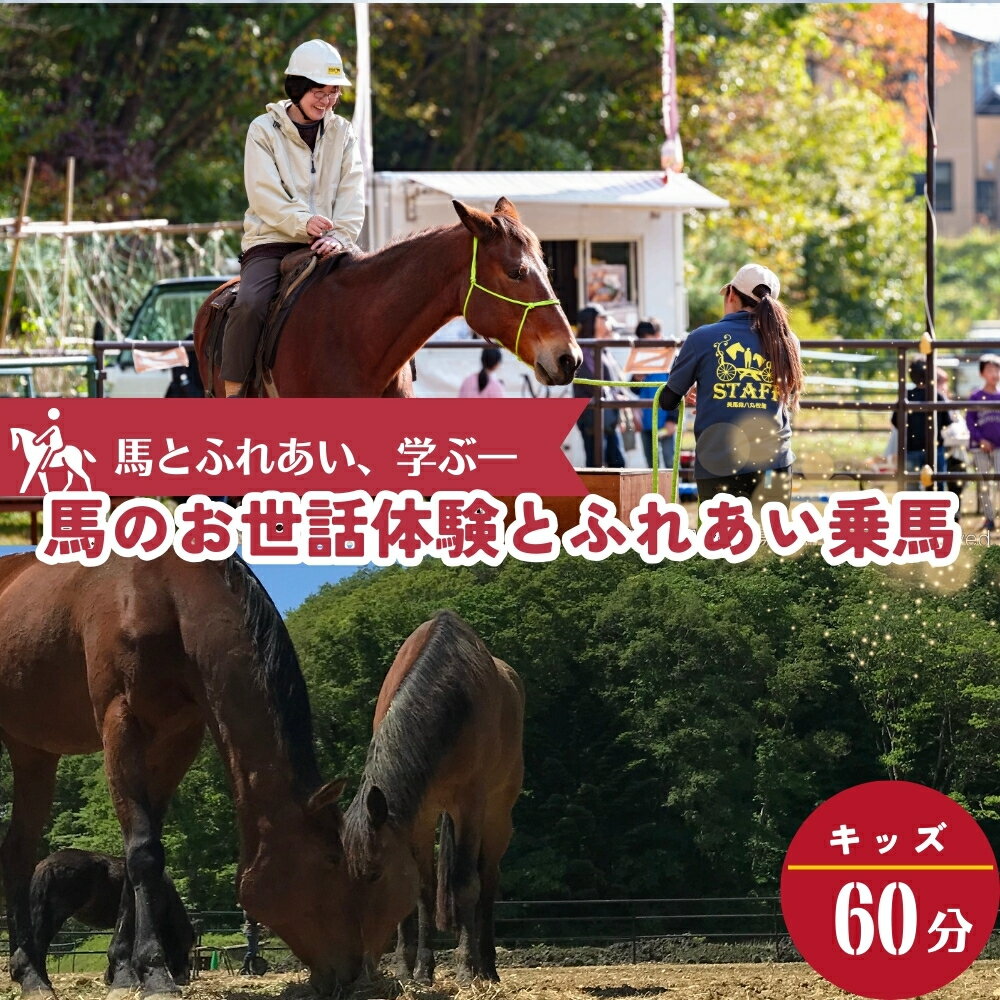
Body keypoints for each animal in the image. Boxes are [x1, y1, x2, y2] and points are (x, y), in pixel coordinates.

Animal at [343, 611, 524, 984]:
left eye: (375, 875)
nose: (360, 961)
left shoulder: (470, 804)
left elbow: (466, 883)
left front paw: (465, 968)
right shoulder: (419, 815)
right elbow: (423, 891)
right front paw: (414, 970)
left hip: (498, 815)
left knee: (488, 881)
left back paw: (487, 968)